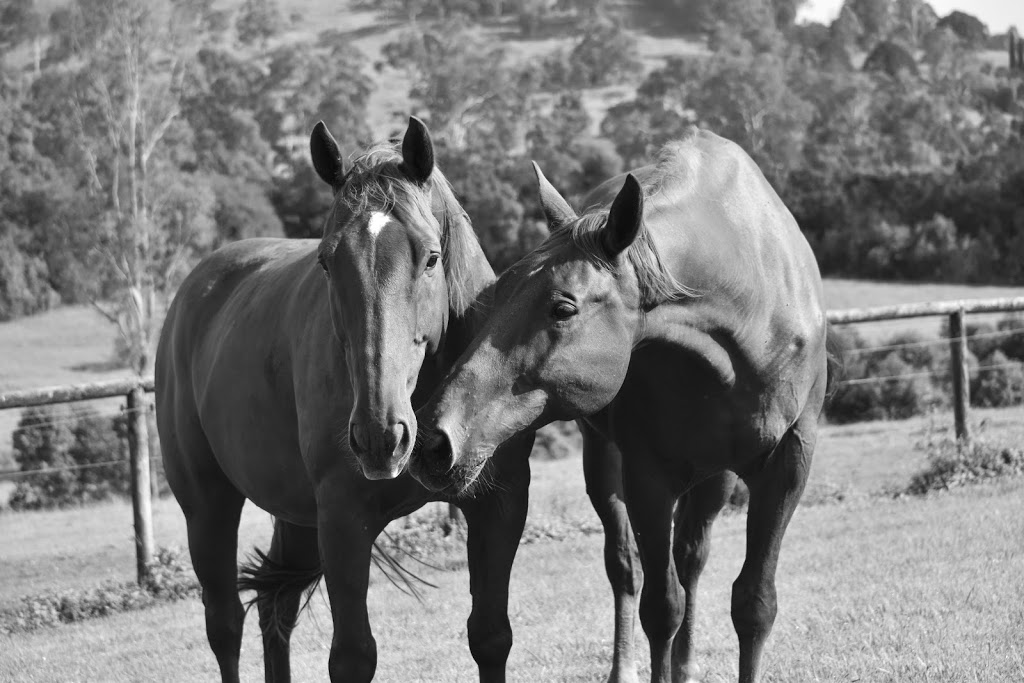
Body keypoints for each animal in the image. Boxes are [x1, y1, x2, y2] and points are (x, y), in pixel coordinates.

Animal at [156, 118, 536, 683]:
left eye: (430, 257)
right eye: (327, 262)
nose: (382, 437)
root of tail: (192, 293)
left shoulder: (499, 504)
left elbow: (490, 636)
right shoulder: (342, 521)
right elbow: (353, 656)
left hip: (292, 515)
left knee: (275, 609)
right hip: (208, 507)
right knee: (225, 625)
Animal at [411, 129, 835, 683]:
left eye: (563, 307)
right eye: (496, 294)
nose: (433, 441)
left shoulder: (787, 465)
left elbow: (754, 604)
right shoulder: (647, 476)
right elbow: (660, 607)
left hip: (716, 476)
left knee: (692, 558)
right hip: (605, 463)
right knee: (625, 568)